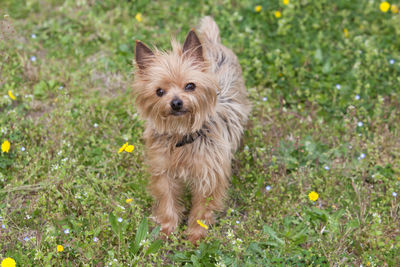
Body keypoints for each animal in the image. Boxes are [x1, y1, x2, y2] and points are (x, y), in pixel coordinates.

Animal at [132, 15, 250, 244]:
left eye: (190, 86)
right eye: (159, 92)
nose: (176, 103)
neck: (182, 135)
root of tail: (211, 41)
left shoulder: (209, 175)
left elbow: (202, 208)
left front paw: (196, 235)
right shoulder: (164, 171)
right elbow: (167, 199)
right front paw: (166, 229)